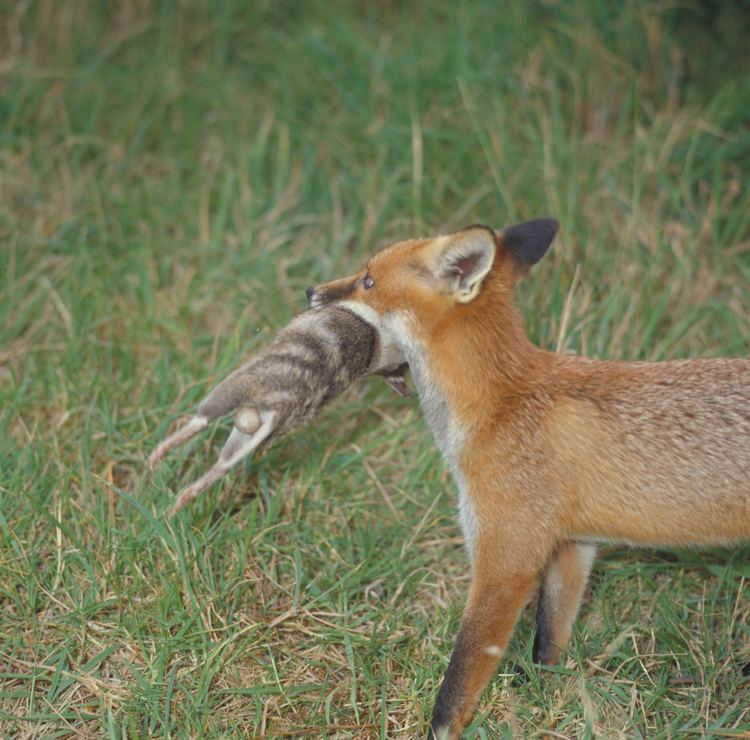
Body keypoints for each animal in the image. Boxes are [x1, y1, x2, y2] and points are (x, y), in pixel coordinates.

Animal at [306, 220, 750, 740]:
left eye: (368, 280)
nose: (311, 291)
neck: (499, 405)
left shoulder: (505, 562)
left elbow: (458, 680)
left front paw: (443, 729)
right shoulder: (571, 546)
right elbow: (549, 640)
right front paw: (545, 695)